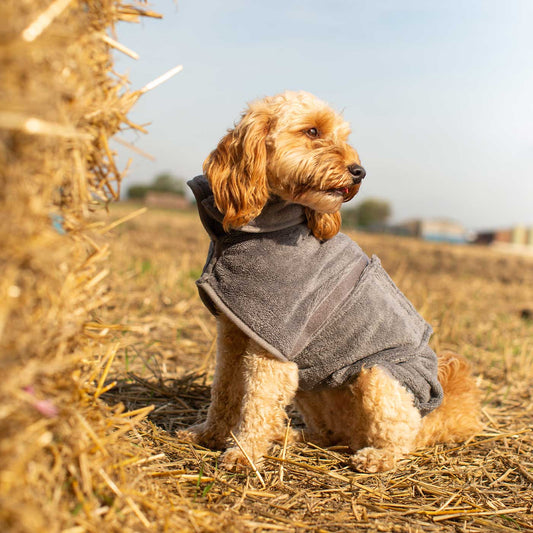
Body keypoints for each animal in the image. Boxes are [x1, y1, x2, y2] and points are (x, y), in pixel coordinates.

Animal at [176, 90, 482, 470]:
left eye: (342, 136)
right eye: (312, 131)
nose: (359, 171)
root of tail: (438, 416)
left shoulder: (274, 346)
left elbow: (257, 403)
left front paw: (243, 454)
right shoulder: (233, 332)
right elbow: (224, 390)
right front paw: (208, 435)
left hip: (379, 376)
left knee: (402, 435)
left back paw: (377, 457)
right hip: (313, 386)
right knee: (332, 434)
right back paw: (293, 436)